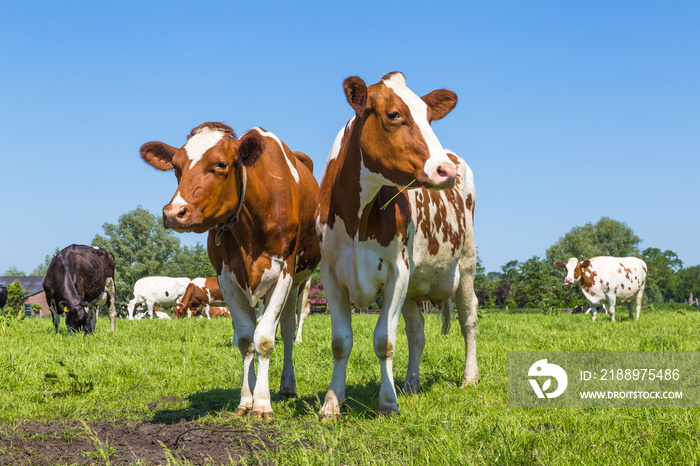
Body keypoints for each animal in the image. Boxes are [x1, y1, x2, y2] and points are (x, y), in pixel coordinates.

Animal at [141, 122, 322, 420]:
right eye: (176, 167)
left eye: (221, 164)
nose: (173, 213)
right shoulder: (227, 277)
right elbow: (246, 339)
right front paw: (247, 399)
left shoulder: (283, 272)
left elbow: (265, 340)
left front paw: (262, 403)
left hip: (299, 281)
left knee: (287, 327)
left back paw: (287, 384)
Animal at [314, 73, 478, 418]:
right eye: (393, 114)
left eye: (429, 117)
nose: (446, 171)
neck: (358, 221)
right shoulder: (331, 273)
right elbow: (341, 342)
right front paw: (332, 402)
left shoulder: (397, 272)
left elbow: (384, 341)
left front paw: (388, 403)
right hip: (415, 287)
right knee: (417, 333)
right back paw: (411, 384)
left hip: (466, 264)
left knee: (469, 320)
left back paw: (469, 378)